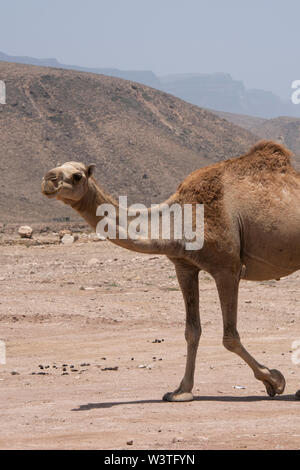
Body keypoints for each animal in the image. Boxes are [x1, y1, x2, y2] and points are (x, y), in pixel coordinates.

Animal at [41, 140, 300, 400]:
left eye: (77, 176)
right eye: (57, 167)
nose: (48, 179)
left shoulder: (227, 267)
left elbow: (230, 337)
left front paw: (274, 380)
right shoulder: (184, 266)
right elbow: (192, 331)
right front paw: (181, 391)